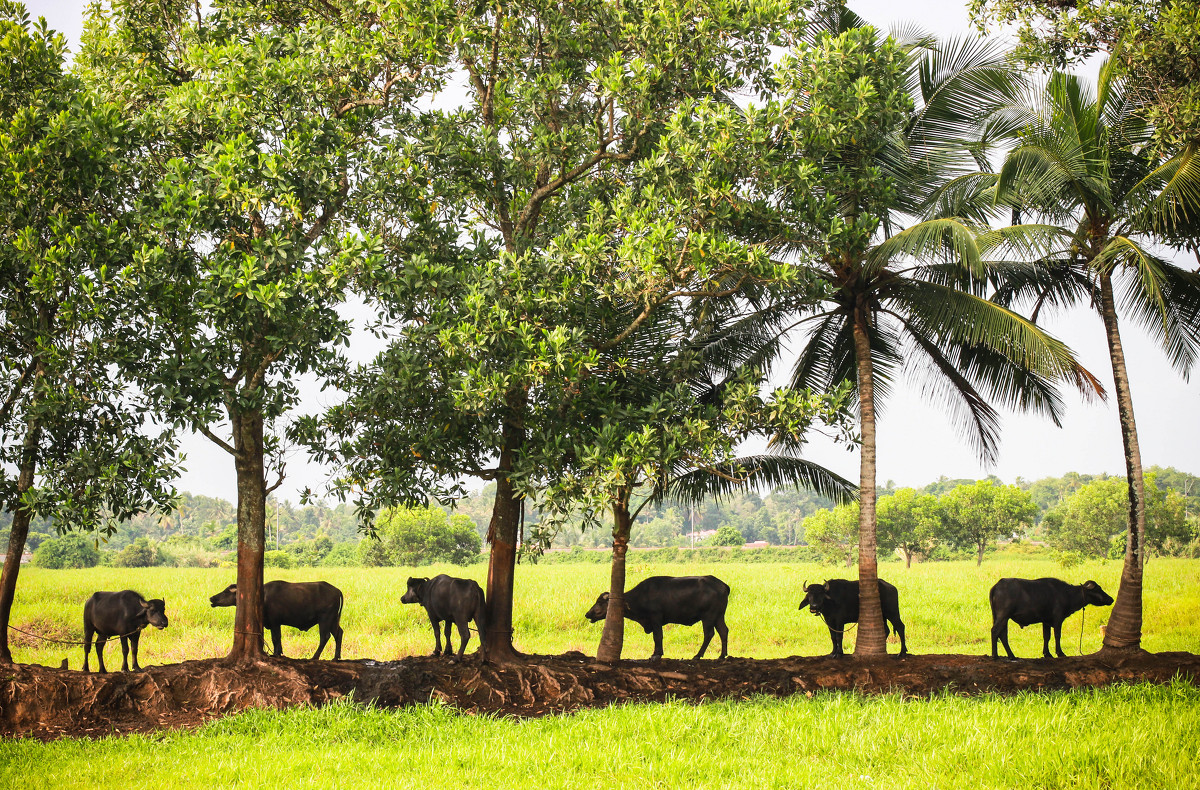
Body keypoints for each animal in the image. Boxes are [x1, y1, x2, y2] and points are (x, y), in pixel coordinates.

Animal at [208, 578, 343, 657]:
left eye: (226, 591)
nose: (212, 598)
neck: (263, 597)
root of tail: (337, 590)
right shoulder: (275, 623)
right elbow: (278, 639)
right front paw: (279, 652)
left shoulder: (274, 622)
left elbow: (275, 638)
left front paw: (276, 654)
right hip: (333, 620)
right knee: (339, 634)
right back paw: (336, 657)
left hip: (325, 620)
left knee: (325, 637)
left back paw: (315, 657)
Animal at [583, 571, 724, 657]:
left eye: (600, 602)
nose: (587, 614)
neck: (641, 596)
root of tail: (721, 585)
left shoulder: (655, 618)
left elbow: (657, 636)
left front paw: (657, 654)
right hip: (719, 617)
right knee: (724, 632)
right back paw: (722, 655)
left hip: (708, 617)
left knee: (709, 634)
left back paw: (698, 655)